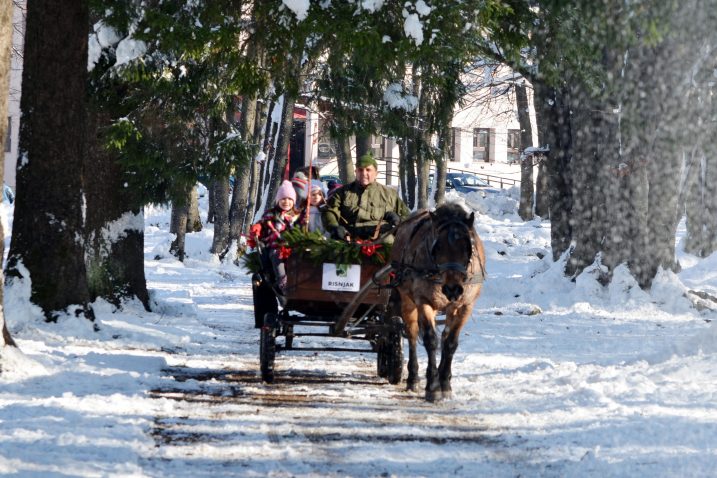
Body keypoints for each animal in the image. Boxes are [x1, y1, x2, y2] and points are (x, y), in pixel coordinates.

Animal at [388, 204, 484, 402]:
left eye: (467, 247)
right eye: (437, 247)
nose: (453, 289)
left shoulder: (465, 306)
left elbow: (450, 343)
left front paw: (445, 383)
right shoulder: (424, 302)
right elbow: (430, 340)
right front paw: (432, 387)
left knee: (444, 336)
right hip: (407, 299)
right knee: (412, 333)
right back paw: (413, 378)